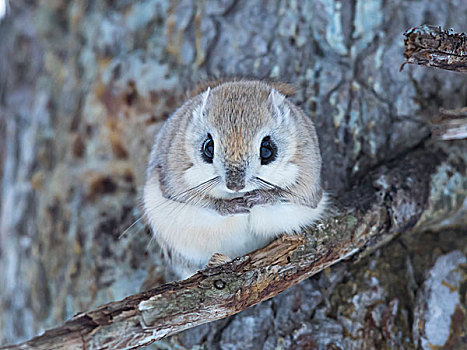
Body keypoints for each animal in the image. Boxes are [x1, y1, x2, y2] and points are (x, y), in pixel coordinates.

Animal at [144, 79, 330, 278]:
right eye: (208, 147)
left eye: (267, 149)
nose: (234, 186)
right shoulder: (174, 180)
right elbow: (200, 201)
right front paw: (231, 206)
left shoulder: (307, 183)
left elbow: (289, 196)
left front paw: (259, 197)